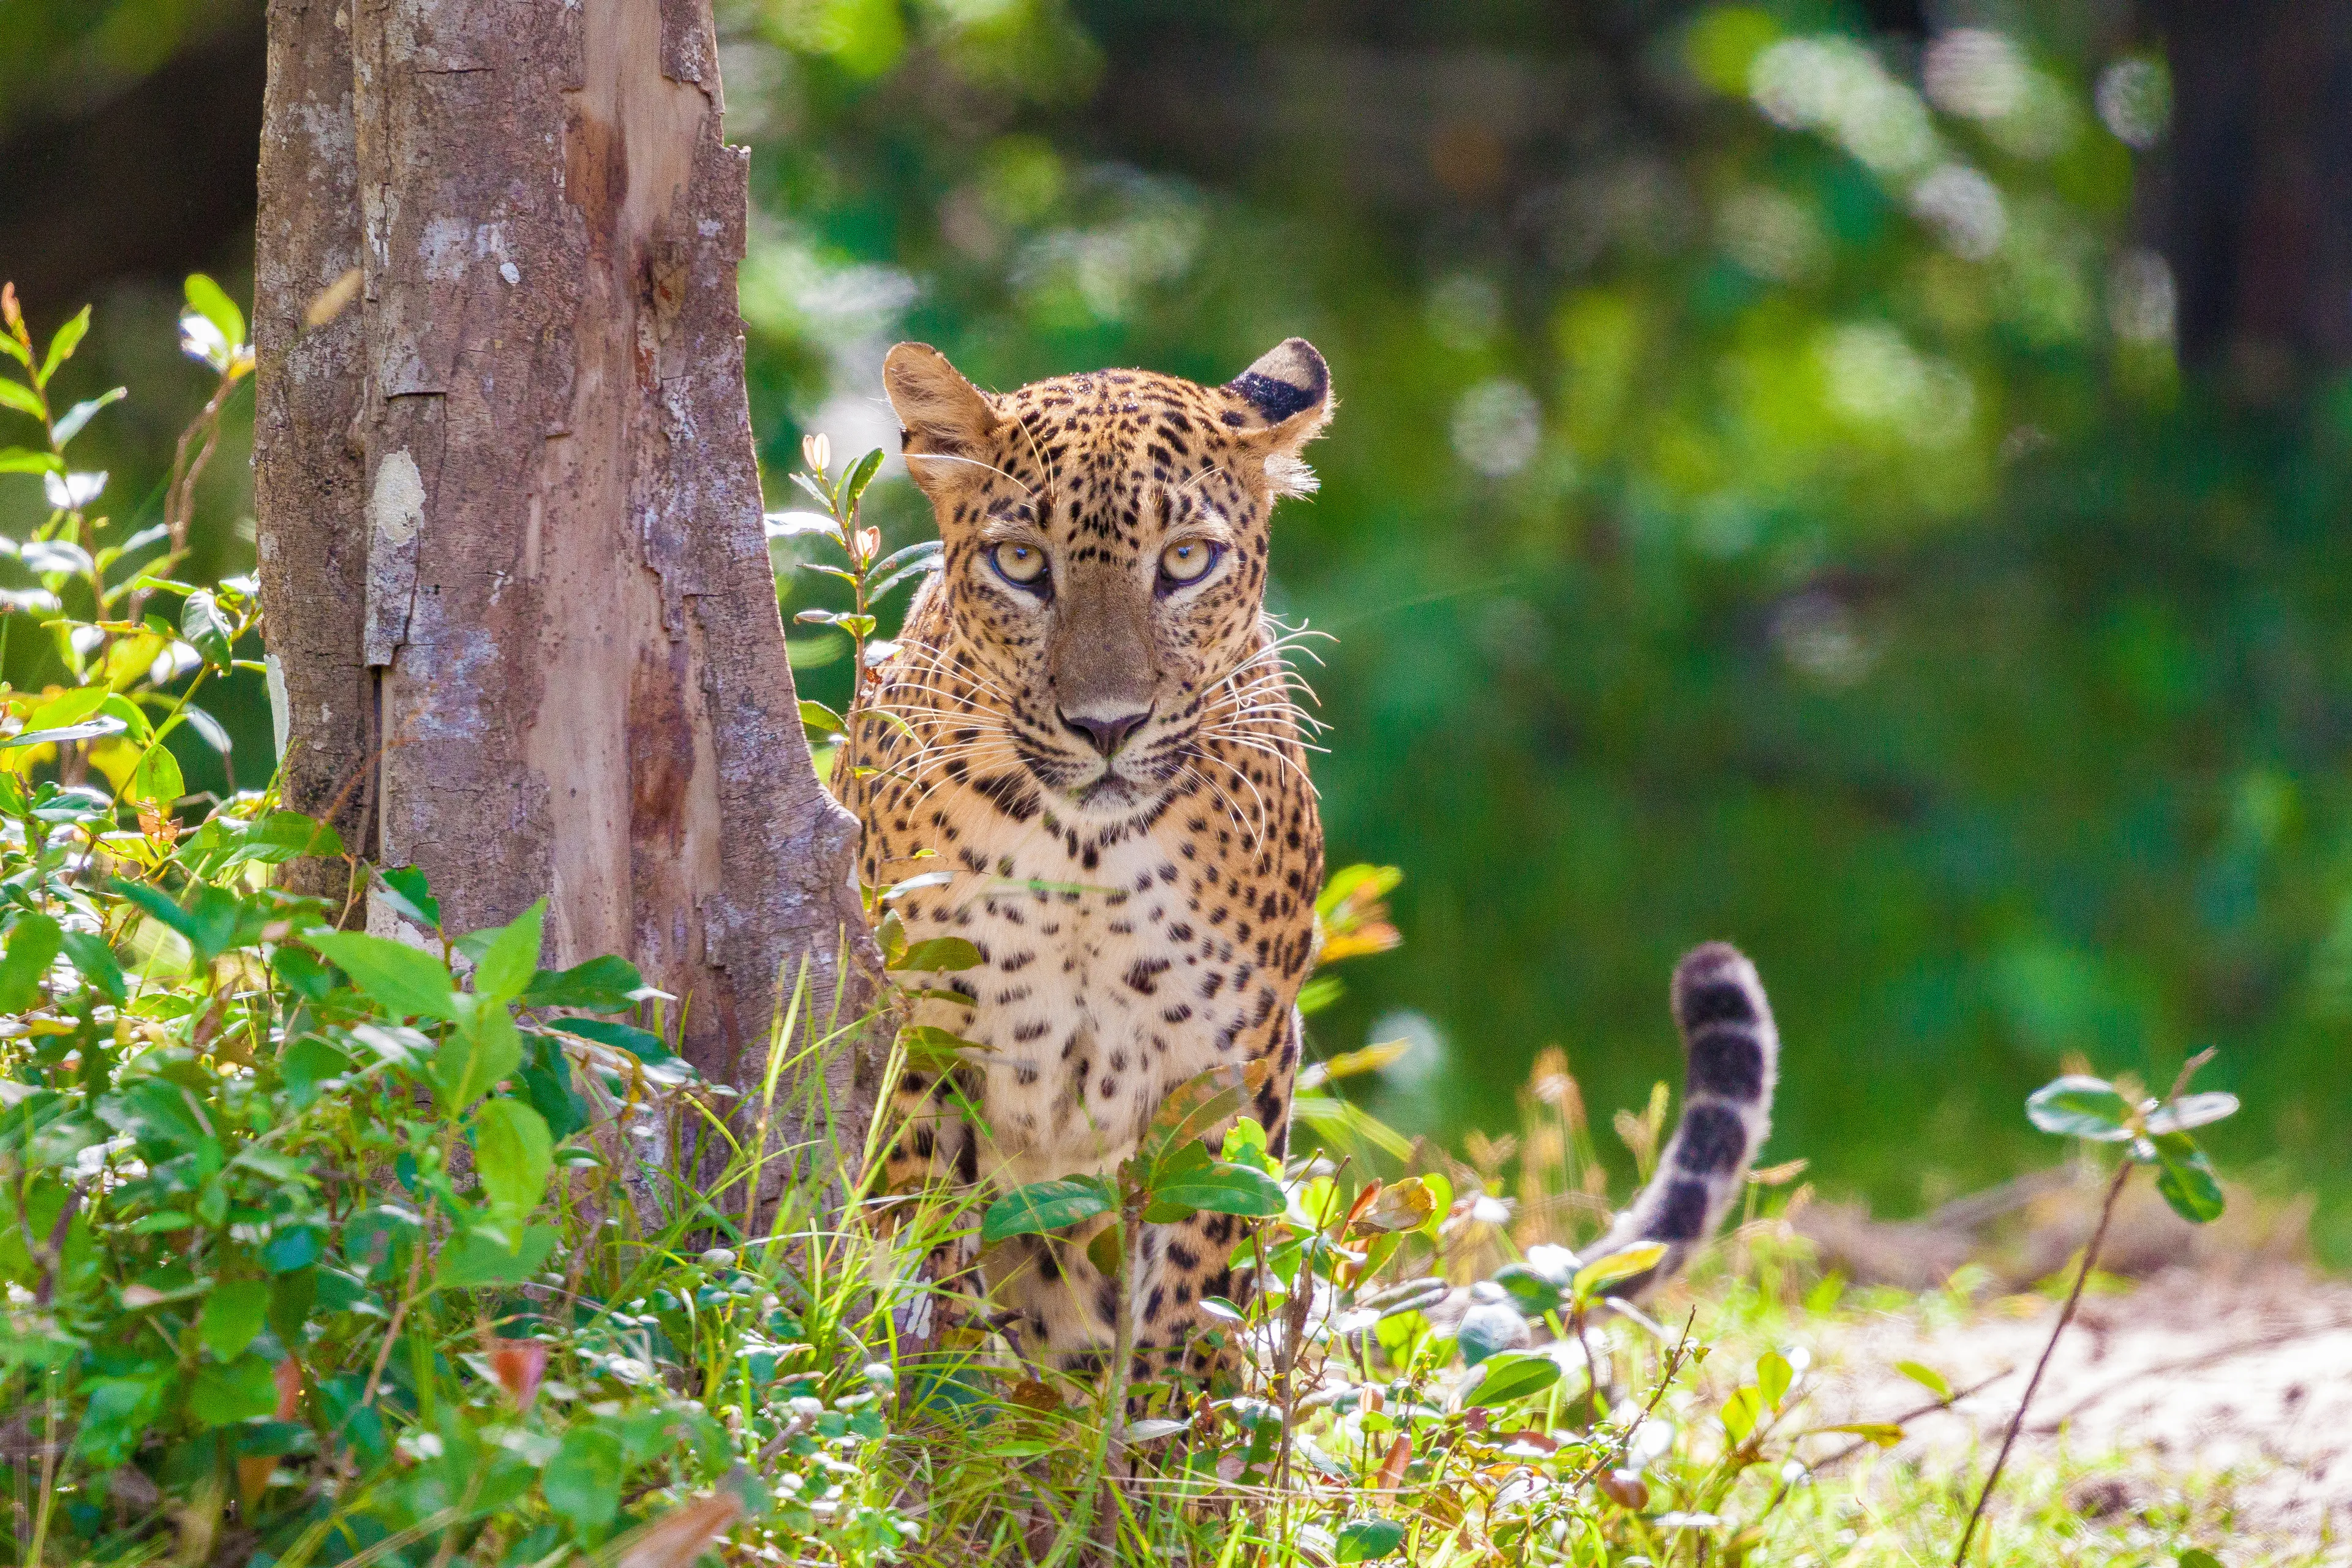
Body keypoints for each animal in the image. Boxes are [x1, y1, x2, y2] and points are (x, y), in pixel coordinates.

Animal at [842, 338, 1778, 1401]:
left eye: (1186, 561)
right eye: (1020, 564)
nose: (1108, 727)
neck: (1086, 856)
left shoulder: (1229, 1050)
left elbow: (1198, 1261)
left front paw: (1171, 1431)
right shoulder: (925, 1030)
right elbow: (925, 1224)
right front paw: (949, 1399)